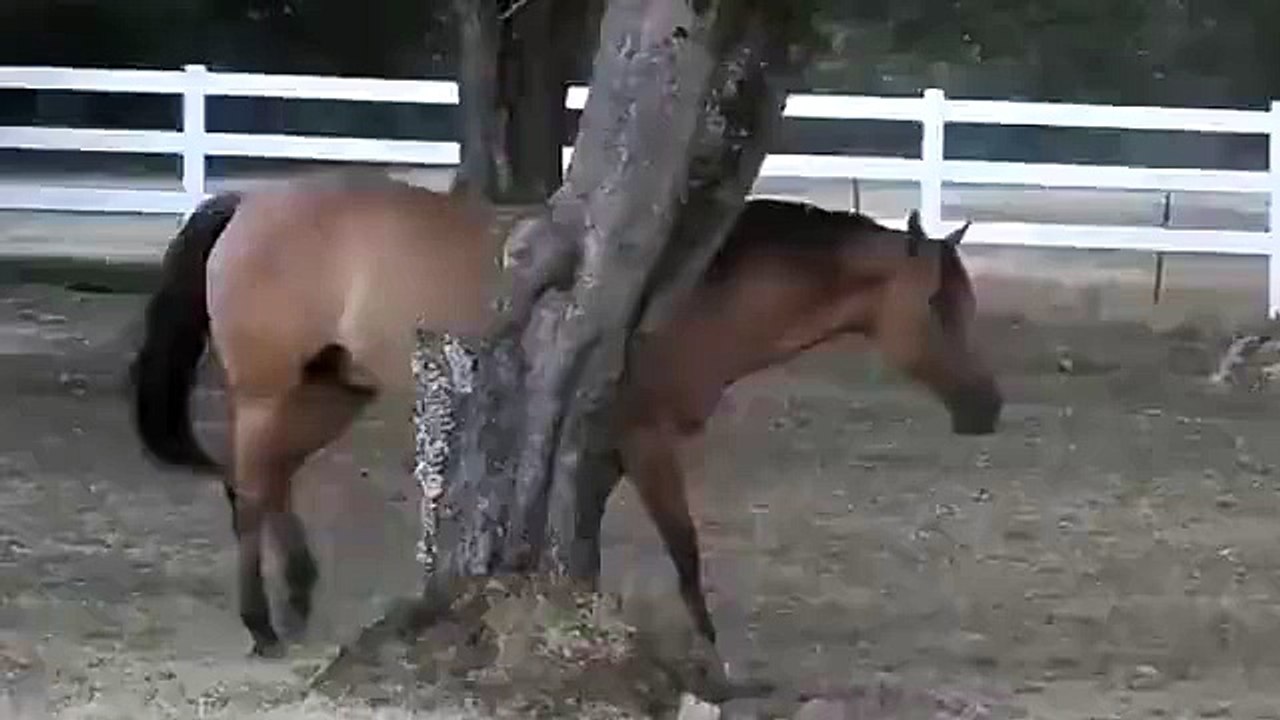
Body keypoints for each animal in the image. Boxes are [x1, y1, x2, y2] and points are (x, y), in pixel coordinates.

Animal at [128, 171, 1002, 658]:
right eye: (935, 304)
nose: (987, 408)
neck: (691, 291)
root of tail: (249, 203)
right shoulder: (644, 439)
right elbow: (683, 546)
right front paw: (710, 655)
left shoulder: (606, 446)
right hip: (269, 389)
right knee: (249, 492)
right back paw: (262, 625)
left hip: (330, 389)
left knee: (265, 483)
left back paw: (300, 598)